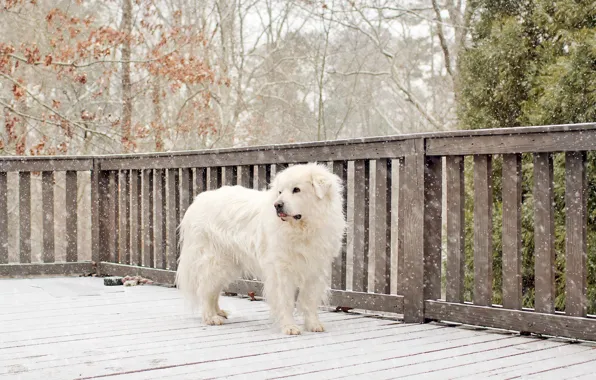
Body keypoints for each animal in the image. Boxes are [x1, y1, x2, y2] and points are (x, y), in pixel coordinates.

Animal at [175, 162, 344, 334]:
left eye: (296, 189)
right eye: (280, 192)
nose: (277, 205)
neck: (302, 229)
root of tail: (198, 200)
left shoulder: (315, 269)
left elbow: (309, 300)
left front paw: (313, 324)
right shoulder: (281, 270)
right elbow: (285, 301)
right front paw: (289, 326)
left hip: (228, 264)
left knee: (213, 290)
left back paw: (219, 312)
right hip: (214, 261)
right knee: (205, 289)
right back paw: (211, 317)